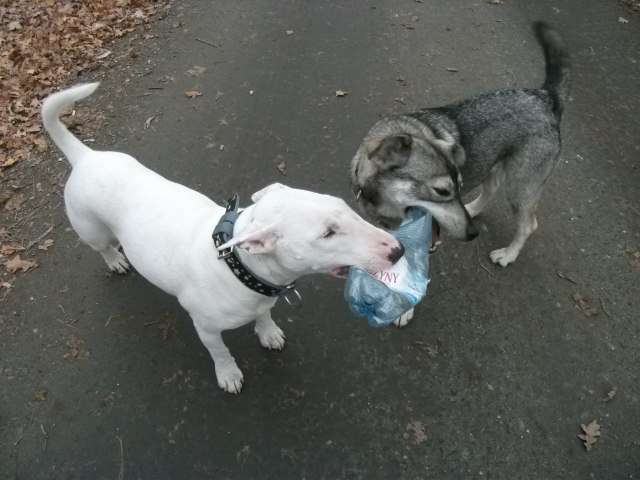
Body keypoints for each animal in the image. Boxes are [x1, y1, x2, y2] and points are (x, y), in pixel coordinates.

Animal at [41, 83, 404, 394]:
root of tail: (86, 157)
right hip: (91, 228)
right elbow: (219, 353)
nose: (398, 250)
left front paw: (268, 333)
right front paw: (228, 374)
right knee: (102, 247)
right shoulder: (207, 328)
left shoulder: (262, 298)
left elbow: (264, 315)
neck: (238, 265)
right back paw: (115, 260)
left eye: (343, 206)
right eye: (327, 233)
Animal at [352, 21, 572, 266]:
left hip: (519, 187)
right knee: (490, 189)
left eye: (459, 186)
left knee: (528, 225)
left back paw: (508, 254)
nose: (473, 233)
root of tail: (545, 96)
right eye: (441, 191)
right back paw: (473, 209)